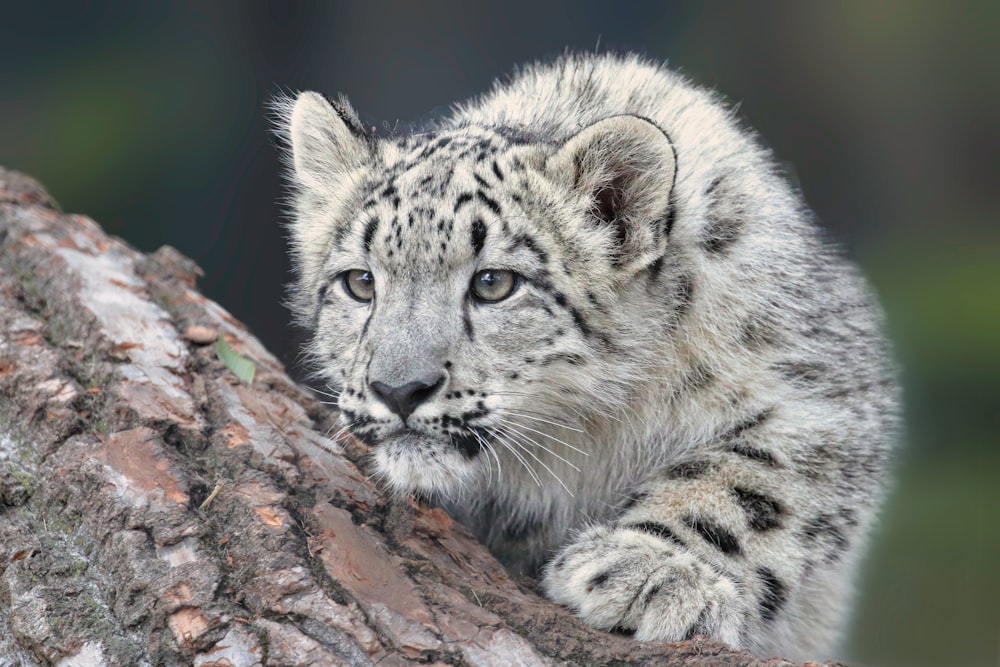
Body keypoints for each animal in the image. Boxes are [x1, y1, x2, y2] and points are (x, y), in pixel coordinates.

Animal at [274, 52, 900, 664]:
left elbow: (749, 478)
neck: (588, 433)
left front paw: (652, 572)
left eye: (494, 283)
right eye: (360, 281)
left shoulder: (821, 391)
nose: (399, 390)